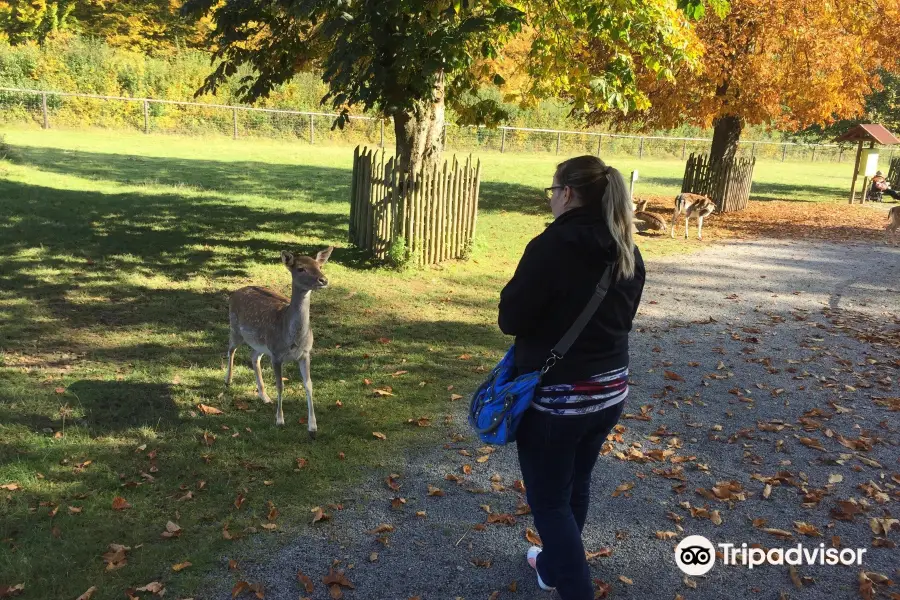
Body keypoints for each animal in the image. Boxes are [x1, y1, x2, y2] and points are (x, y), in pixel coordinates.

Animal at [225, 245, 334, 436]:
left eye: (319, 266)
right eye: (301, 268)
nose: (323, 279)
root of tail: (234, 293)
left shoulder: (305, 354)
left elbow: (309, 385)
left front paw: (313, 426)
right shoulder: (276, 354)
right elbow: (280, 386)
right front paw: (280, 420)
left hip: (260, 344)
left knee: (254, 357)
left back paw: (264, 396)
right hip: (235, 328)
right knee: (230, 349)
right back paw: (228, 380)